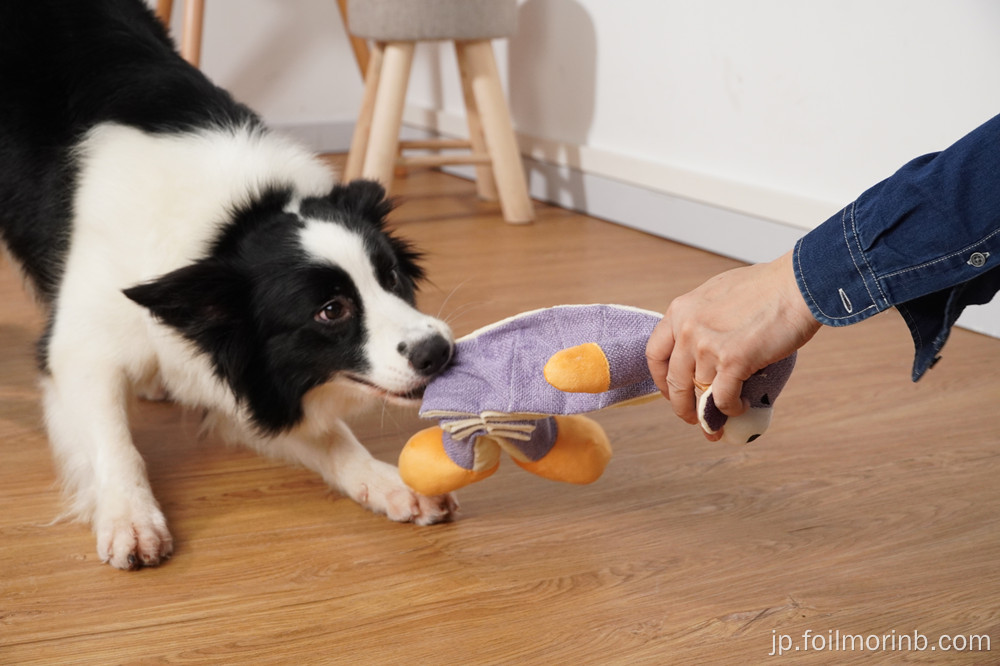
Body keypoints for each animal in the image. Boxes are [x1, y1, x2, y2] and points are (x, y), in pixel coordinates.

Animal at [0, 1, 458, 572]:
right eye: (331, 310)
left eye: (390, 276)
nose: (439, 352)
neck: (227, 228)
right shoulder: (79, 345)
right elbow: (114, 440)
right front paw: (130, 517)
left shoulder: (238, 369)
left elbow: (330, 436)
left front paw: (388, 481)